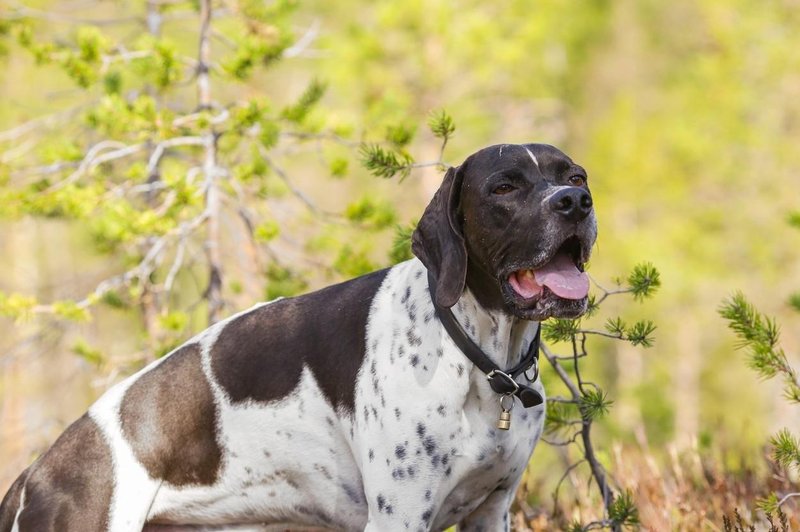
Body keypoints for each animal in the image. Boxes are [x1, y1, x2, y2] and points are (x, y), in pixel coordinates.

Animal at [0, 142, 596, 532]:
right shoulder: (400, 516)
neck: (481, 361)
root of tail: (34, 474)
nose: (573, 203)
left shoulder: (491, 512)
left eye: (577, 177)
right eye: (504, 186)